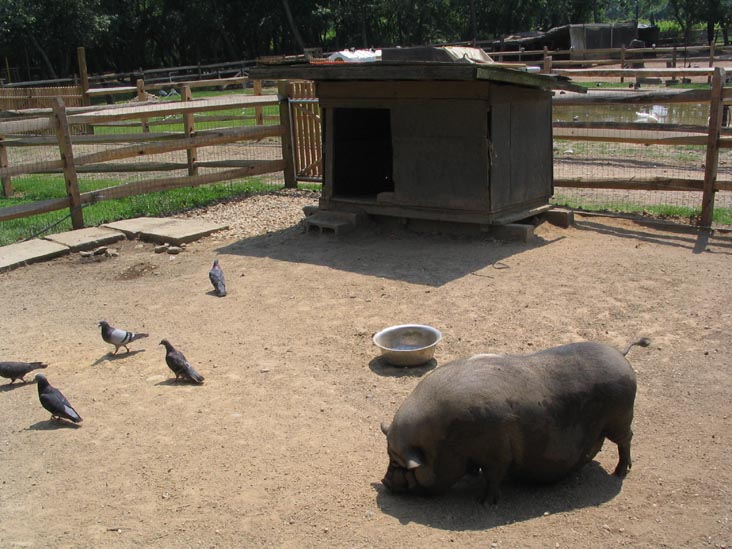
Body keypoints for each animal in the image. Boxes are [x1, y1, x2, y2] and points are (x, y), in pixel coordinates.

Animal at [381, 337, 650, 504]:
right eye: (389, 458)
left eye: (399, 464)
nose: (384, 481)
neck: (446, 440)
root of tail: (619, 354)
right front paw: (473, 478)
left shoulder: (498, 453)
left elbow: (494, 476)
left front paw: (484, 503)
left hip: (620, 418)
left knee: (627, 439)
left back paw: (619, 473)